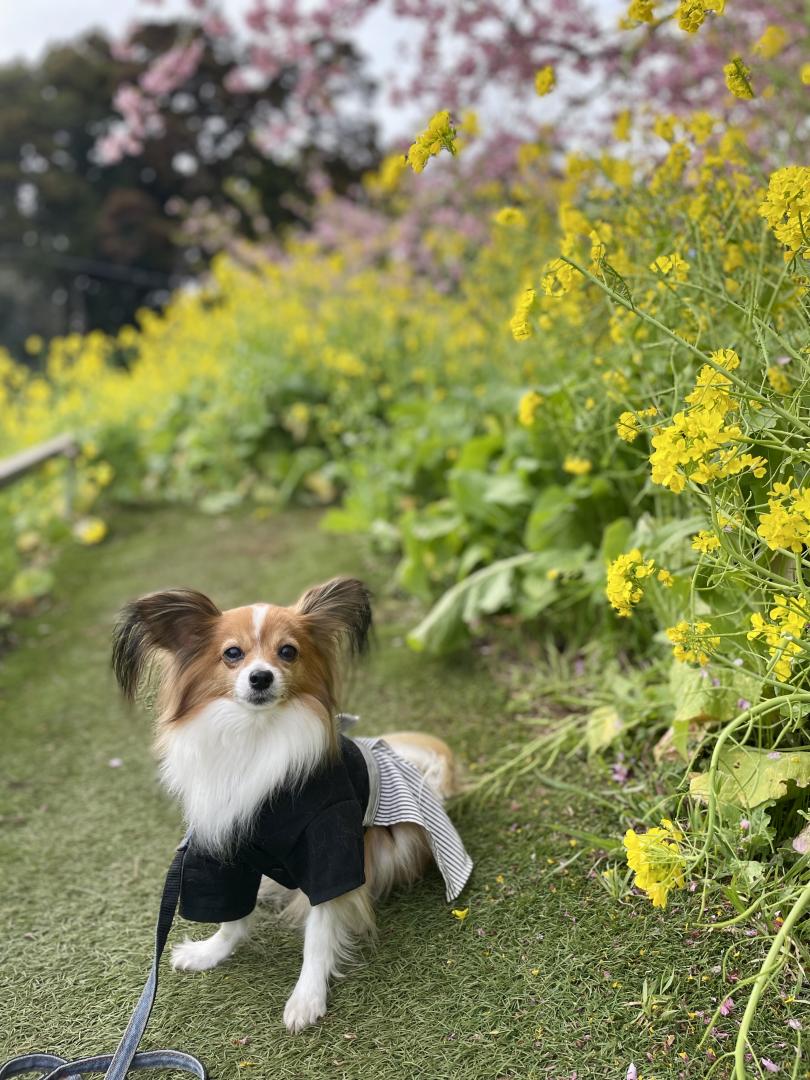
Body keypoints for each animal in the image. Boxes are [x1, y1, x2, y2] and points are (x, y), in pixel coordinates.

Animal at [111, 578, 473, 1032]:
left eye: (288, 651)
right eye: (233, 654)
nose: (261, 677)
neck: (256, 736)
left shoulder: (330, 848)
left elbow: (319, 932)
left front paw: (307, 997)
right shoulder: (225, 846)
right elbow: (230, 916)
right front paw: (210, 953)